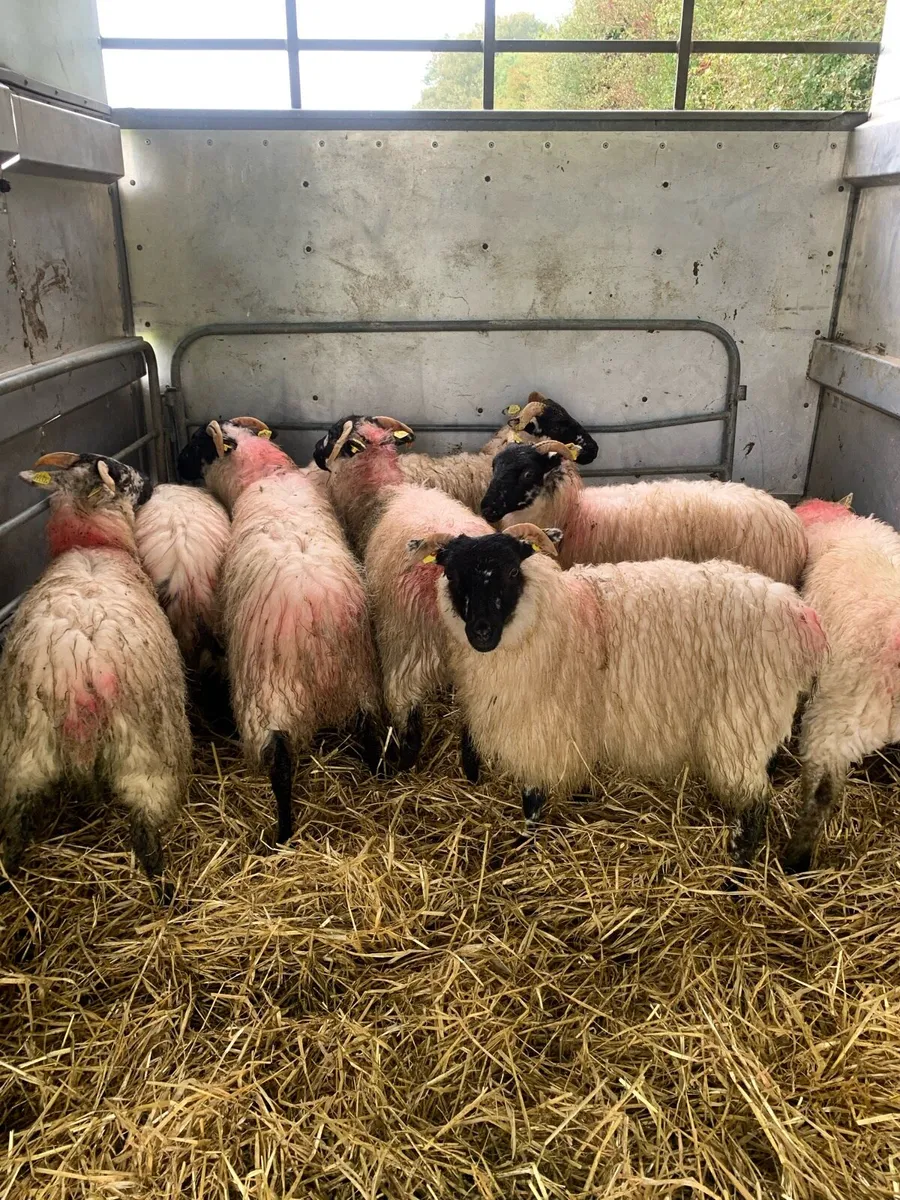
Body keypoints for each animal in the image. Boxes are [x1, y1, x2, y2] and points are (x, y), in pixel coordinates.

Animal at [0, 452, 191, 892]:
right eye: (121, 475)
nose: (150, 483)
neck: (91, 544)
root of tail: (76, 675)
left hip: (21, 751)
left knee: (14, 831)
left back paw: (10, 878)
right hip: (149, 751)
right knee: (146, 833)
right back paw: (164, 891)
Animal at [181, 415, 381, 843]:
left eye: (196, 444)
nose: (177, 463)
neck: (267, 476)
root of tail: (321, 620)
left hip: (269, 698)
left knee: (281, 766)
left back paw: (281, 835)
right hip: (361, 678)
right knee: (372, 734)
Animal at [314, 414, 492, 770]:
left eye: (332, 434)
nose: (313, 451)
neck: (382, 492)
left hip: (407, 646)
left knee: (406, 716)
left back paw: (401, 763)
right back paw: (471, 768)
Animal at [412, 522, 825, 871]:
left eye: (513, 572)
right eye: (452, 575)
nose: (480, 632)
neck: (553, 616)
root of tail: (801, 619)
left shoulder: (543, 731)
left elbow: (532, 800)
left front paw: (526, 846)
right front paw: (581, 799)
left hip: (741, 724)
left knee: (755, 808)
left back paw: (735, 876)